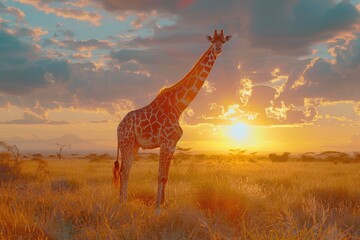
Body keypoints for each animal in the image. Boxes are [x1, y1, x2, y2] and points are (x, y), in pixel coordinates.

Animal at [114, 29, 232, 211]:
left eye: (223, 41)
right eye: (213, 41)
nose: (218, 49)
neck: (179, 106)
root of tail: (118, 127)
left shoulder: (173, 144)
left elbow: (167, 176)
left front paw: (164, 204)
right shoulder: (166, 141)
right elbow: (160, 176)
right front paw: (157, 208)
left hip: (134, 144)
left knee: (126, 170)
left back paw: (124, 201)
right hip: (127, 141)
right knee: (124, 170)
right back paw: (122, 203)